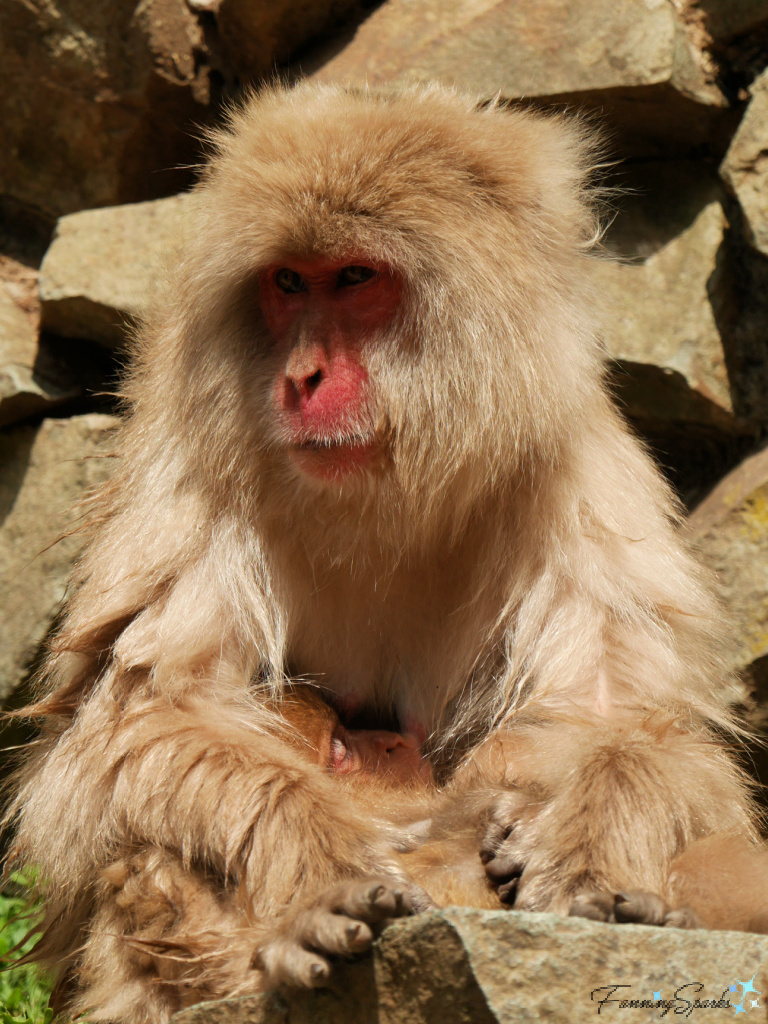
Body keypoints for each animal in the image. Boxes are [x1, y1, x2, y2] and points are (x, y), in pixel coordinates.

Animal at [9, 81, 768, 1024]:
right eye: (288, 282)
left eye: (354, 278)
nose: (300, 377)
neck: (385, 491)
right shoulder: (191, 467)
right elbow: (148, 719)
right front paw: (323, 878)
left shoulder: (584, 478)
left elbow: (623, 720)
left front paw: (582, 853)